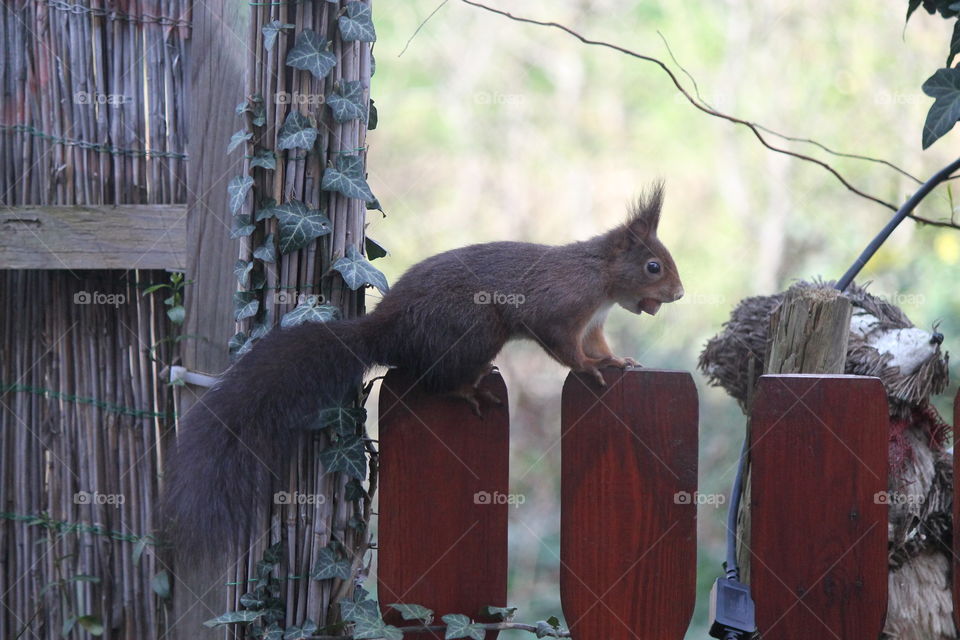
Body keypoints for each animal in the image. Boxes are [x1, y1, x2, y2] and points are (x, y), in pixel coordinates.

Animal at [163, 183, 684, 552]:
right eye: (654, 267)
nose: (679, 295)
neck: (600, 279)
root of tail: (389, 329)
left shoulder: (592, 323)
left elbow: (597, 346)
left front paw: (614, 360)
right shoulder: (559, 311)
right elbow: (563, 347)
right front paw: (588, 371)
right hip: (476, 330)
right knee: (434, 381)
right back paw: (469, 388)